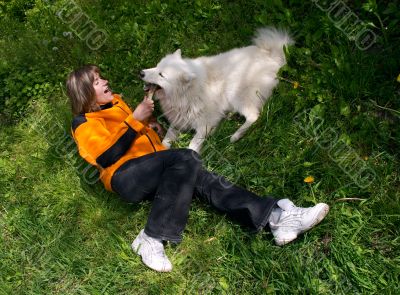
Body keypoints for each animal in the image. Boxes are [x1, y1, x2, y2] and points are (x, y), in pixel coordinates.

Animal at [141, 27, 294, 155]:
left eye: (161, 75)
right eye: (156, 66)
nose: (141, 73)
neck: (186, 94)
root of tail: (272, 57)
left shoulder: (205, 125)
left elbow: (192, 144)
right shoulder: (179, 121)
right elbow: (166, 140)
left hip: (234, 91)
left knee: (254, 116)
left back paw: (236, 135)